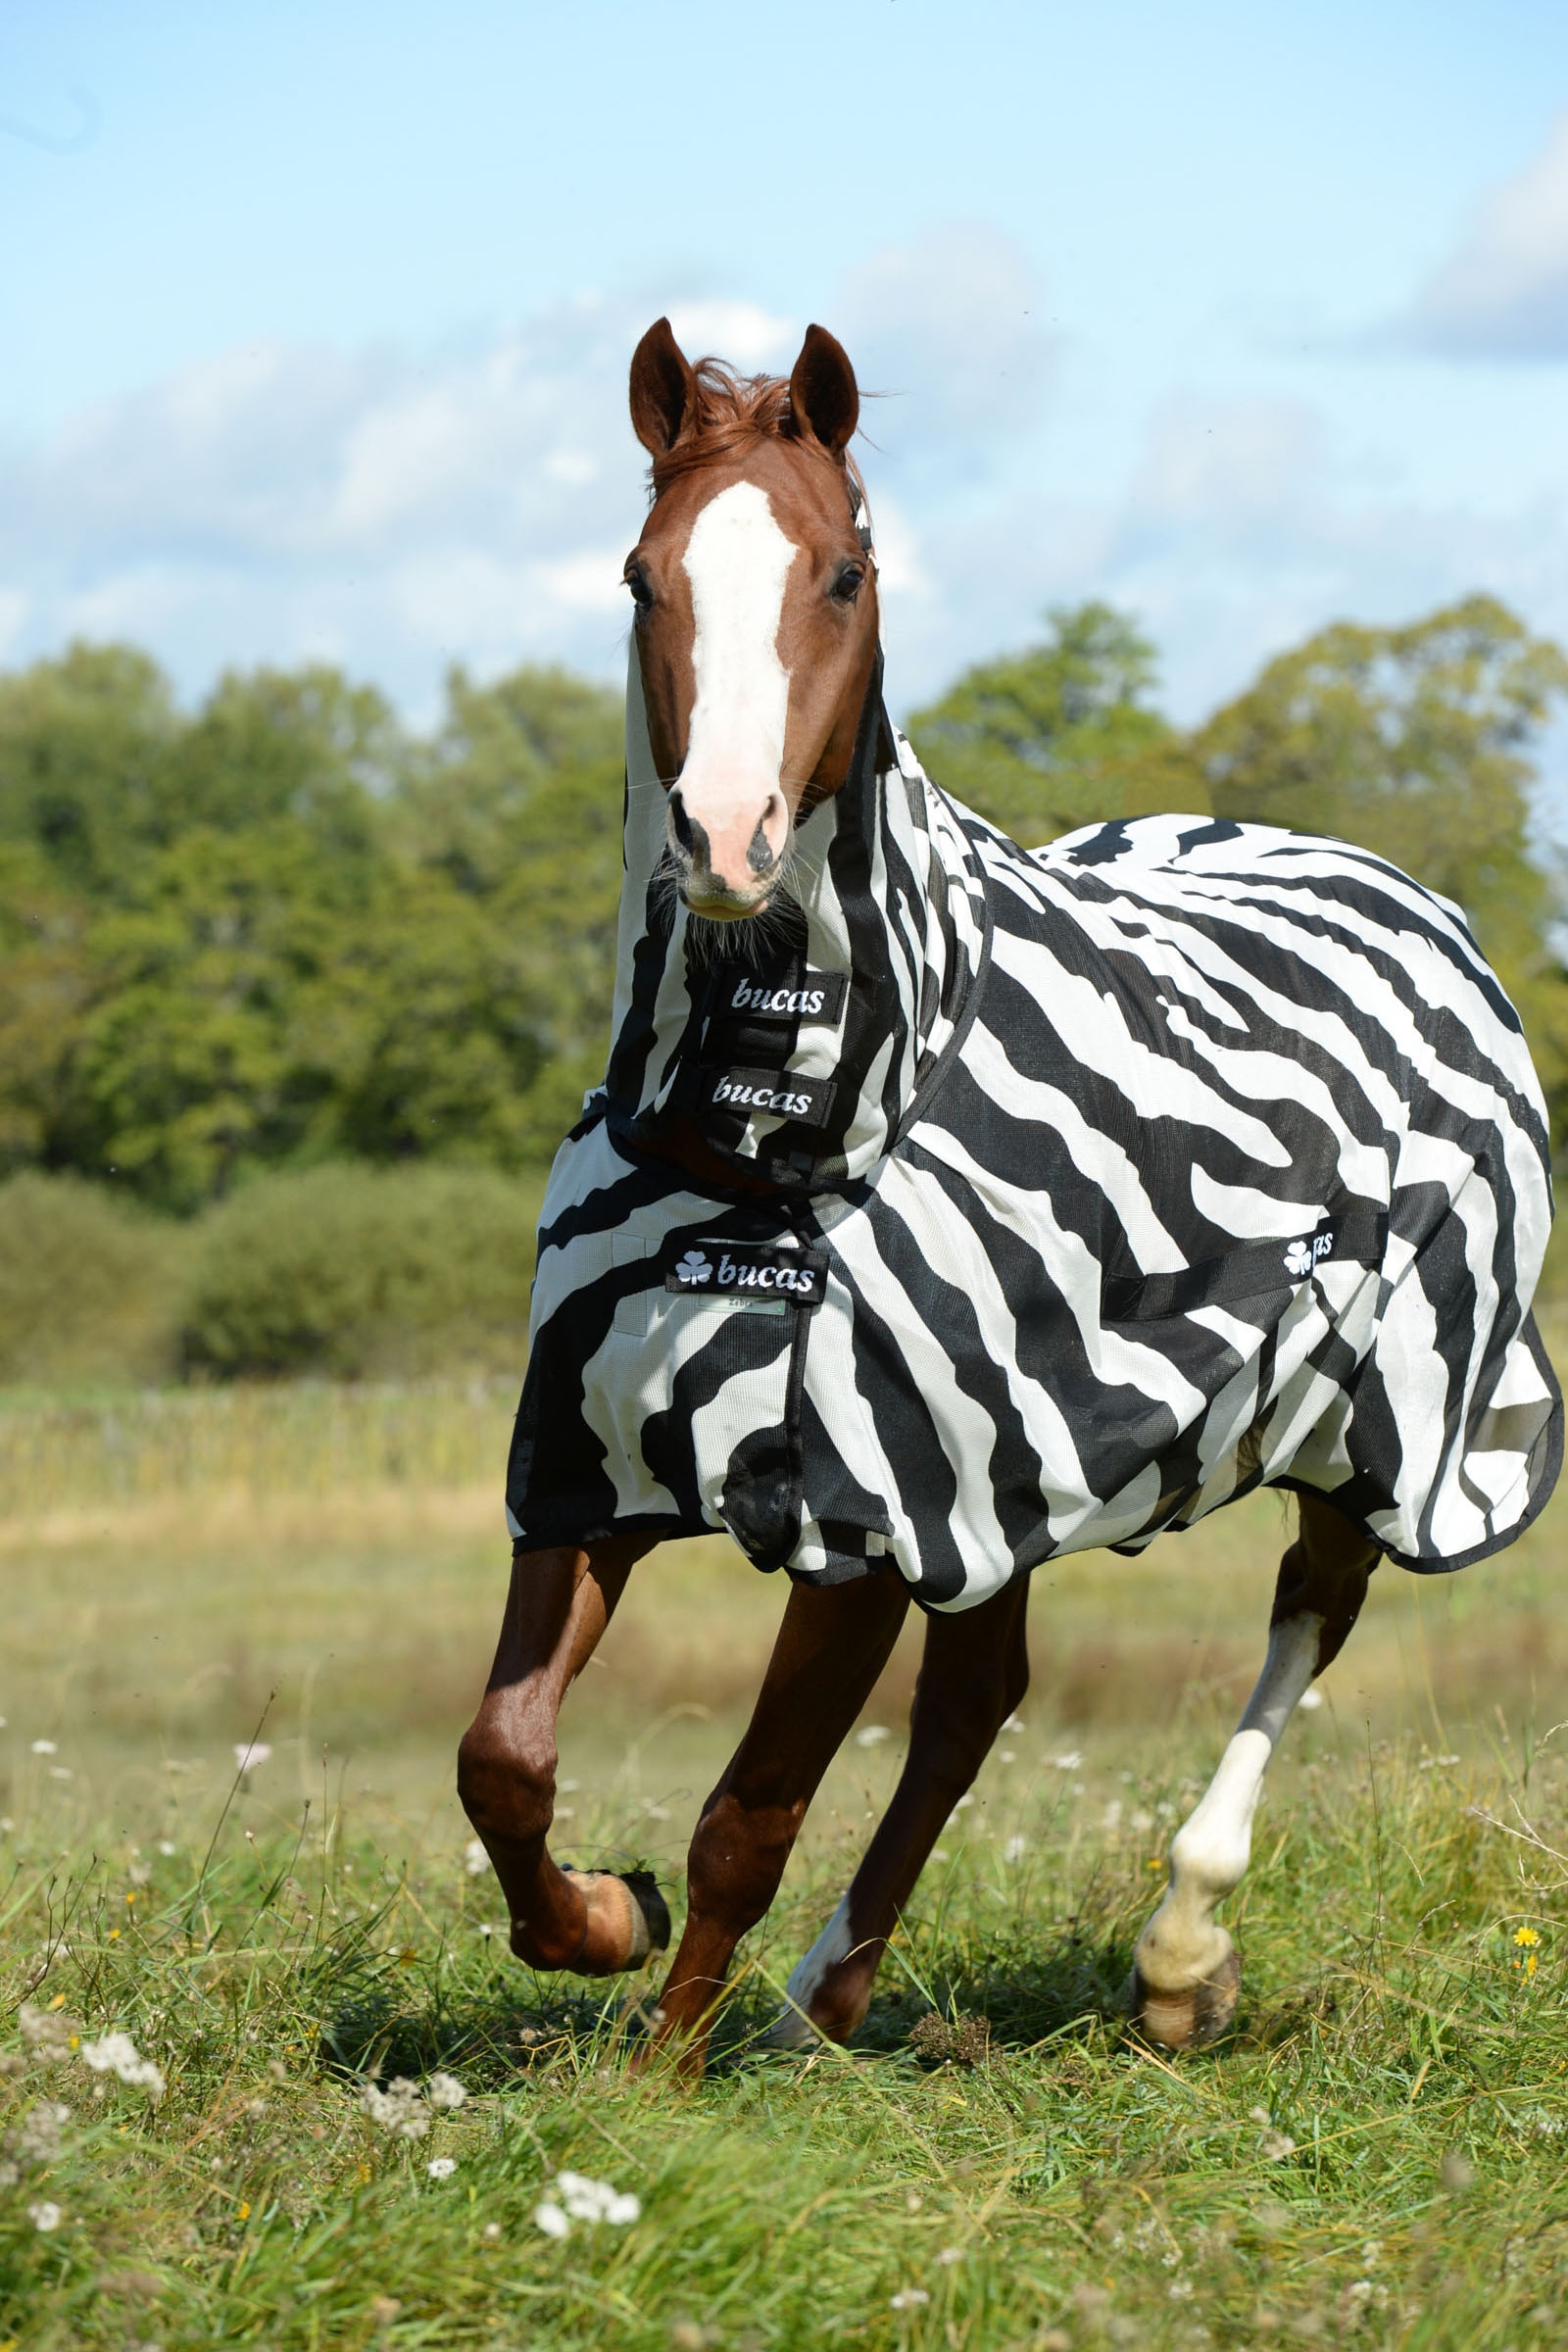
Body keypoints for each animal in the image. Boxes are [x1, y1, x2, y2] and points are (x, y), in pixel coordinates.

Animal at [457, 318, 1561, 2065]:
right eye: (643, 577)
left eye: (845, 575)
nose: (725, 840)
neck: (758, 1152)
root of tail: (1394, 889)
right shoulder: (592, 1464)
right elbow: (502, 1759)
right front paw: (598, 1924)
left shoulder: (859, 1515)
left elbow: (745, 1818)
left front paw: (662, 2075)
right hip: (1009, 1483)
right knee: (981, 1700)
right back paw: (828, 2001)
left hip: (1379, 1422)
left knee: (1307, 1616)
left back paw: (1180, 1953)